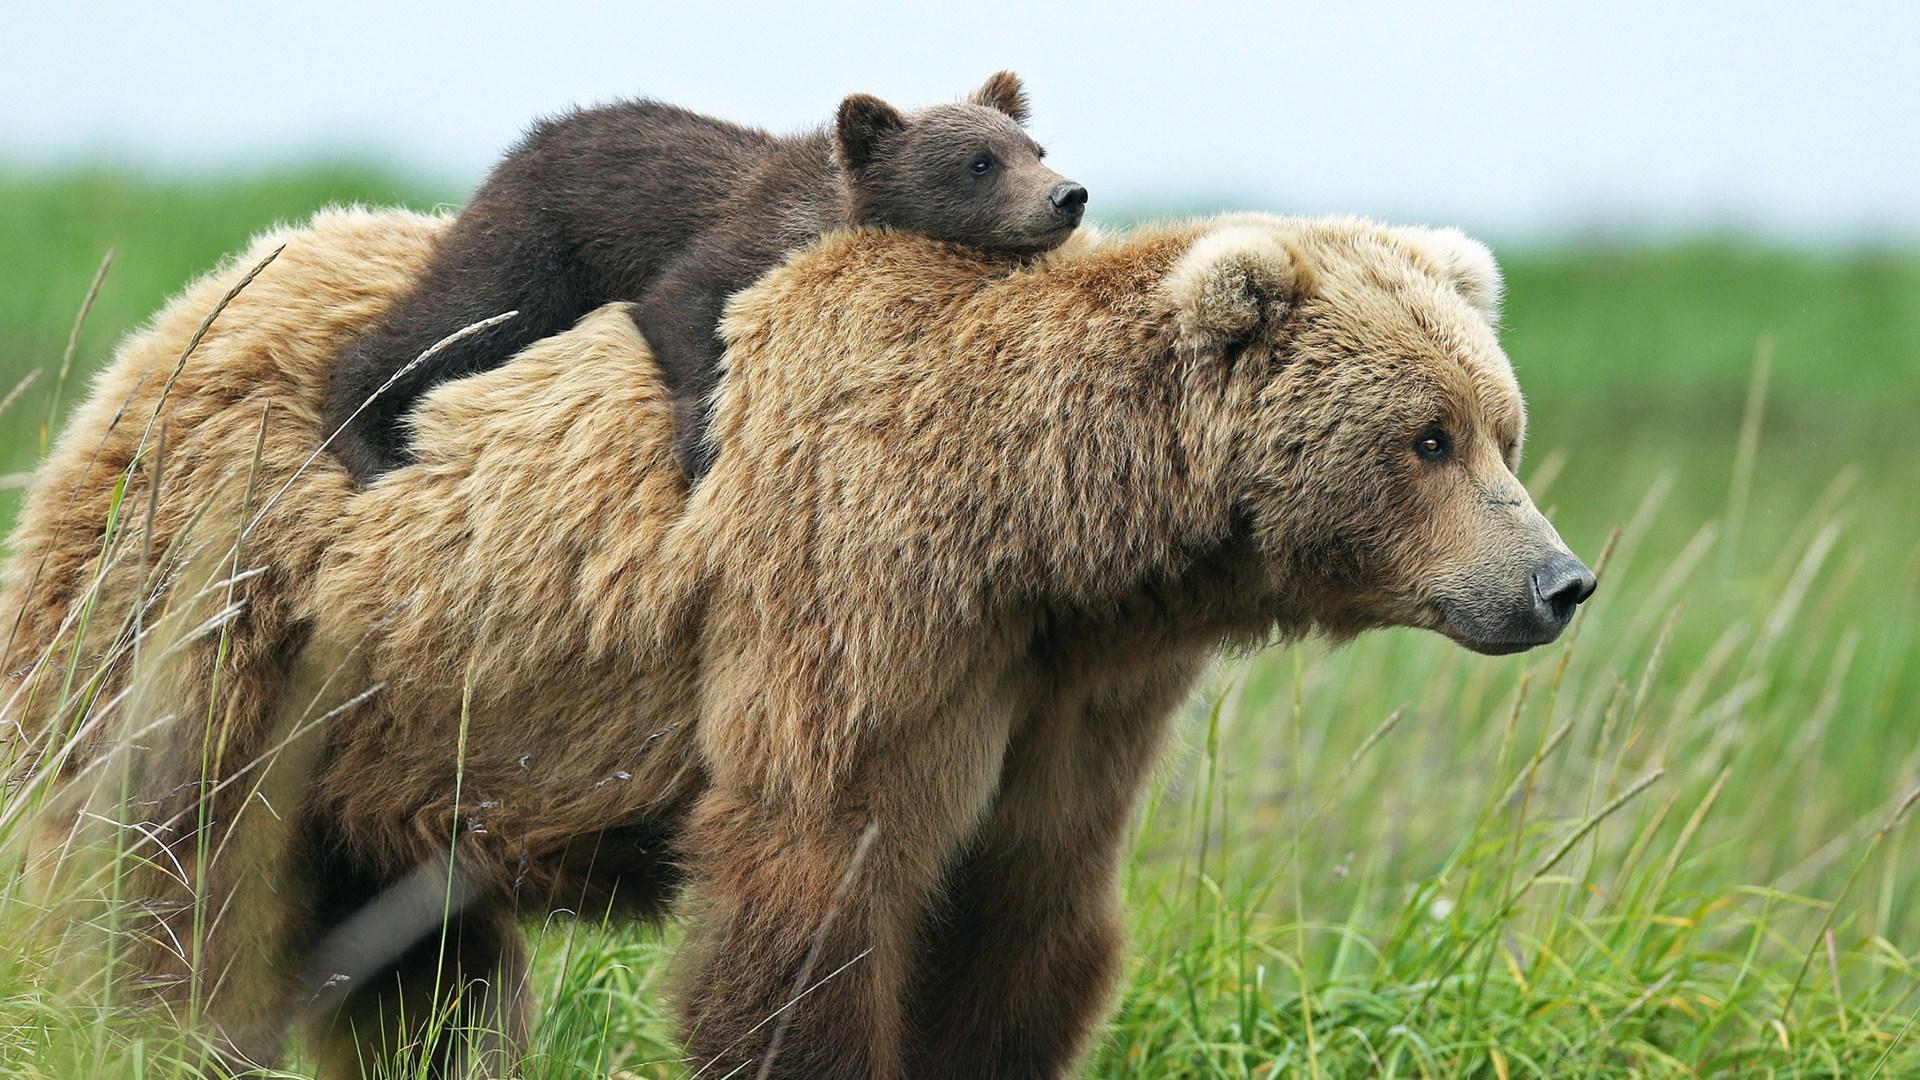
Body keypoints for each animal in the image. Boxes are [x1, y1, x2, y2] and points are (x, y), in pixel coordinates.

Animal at [0, 207, 1593, 1078]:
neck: (1046, 535)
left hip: (396, 735)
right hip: (216, 607)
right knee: (156, 871)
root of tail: (164, 326)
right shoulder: (858, 603)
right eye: (1428, 438)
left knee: (422, 973)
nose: (1559, 580)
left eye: (1503, 428)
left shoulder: (1072, 694)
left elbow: (1026, 919)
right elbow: (814, 892)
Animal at [321, 70, 1087, 487]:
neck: (828, 209)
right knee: (459, 316)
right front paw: (701, 444)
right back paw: (364, 440)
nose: (1067, 195)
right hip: (539, 239)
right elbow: (680, 305)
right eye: (980, 162)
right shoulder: (741, 238)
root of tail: (523, 145)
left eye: (1035, 147)